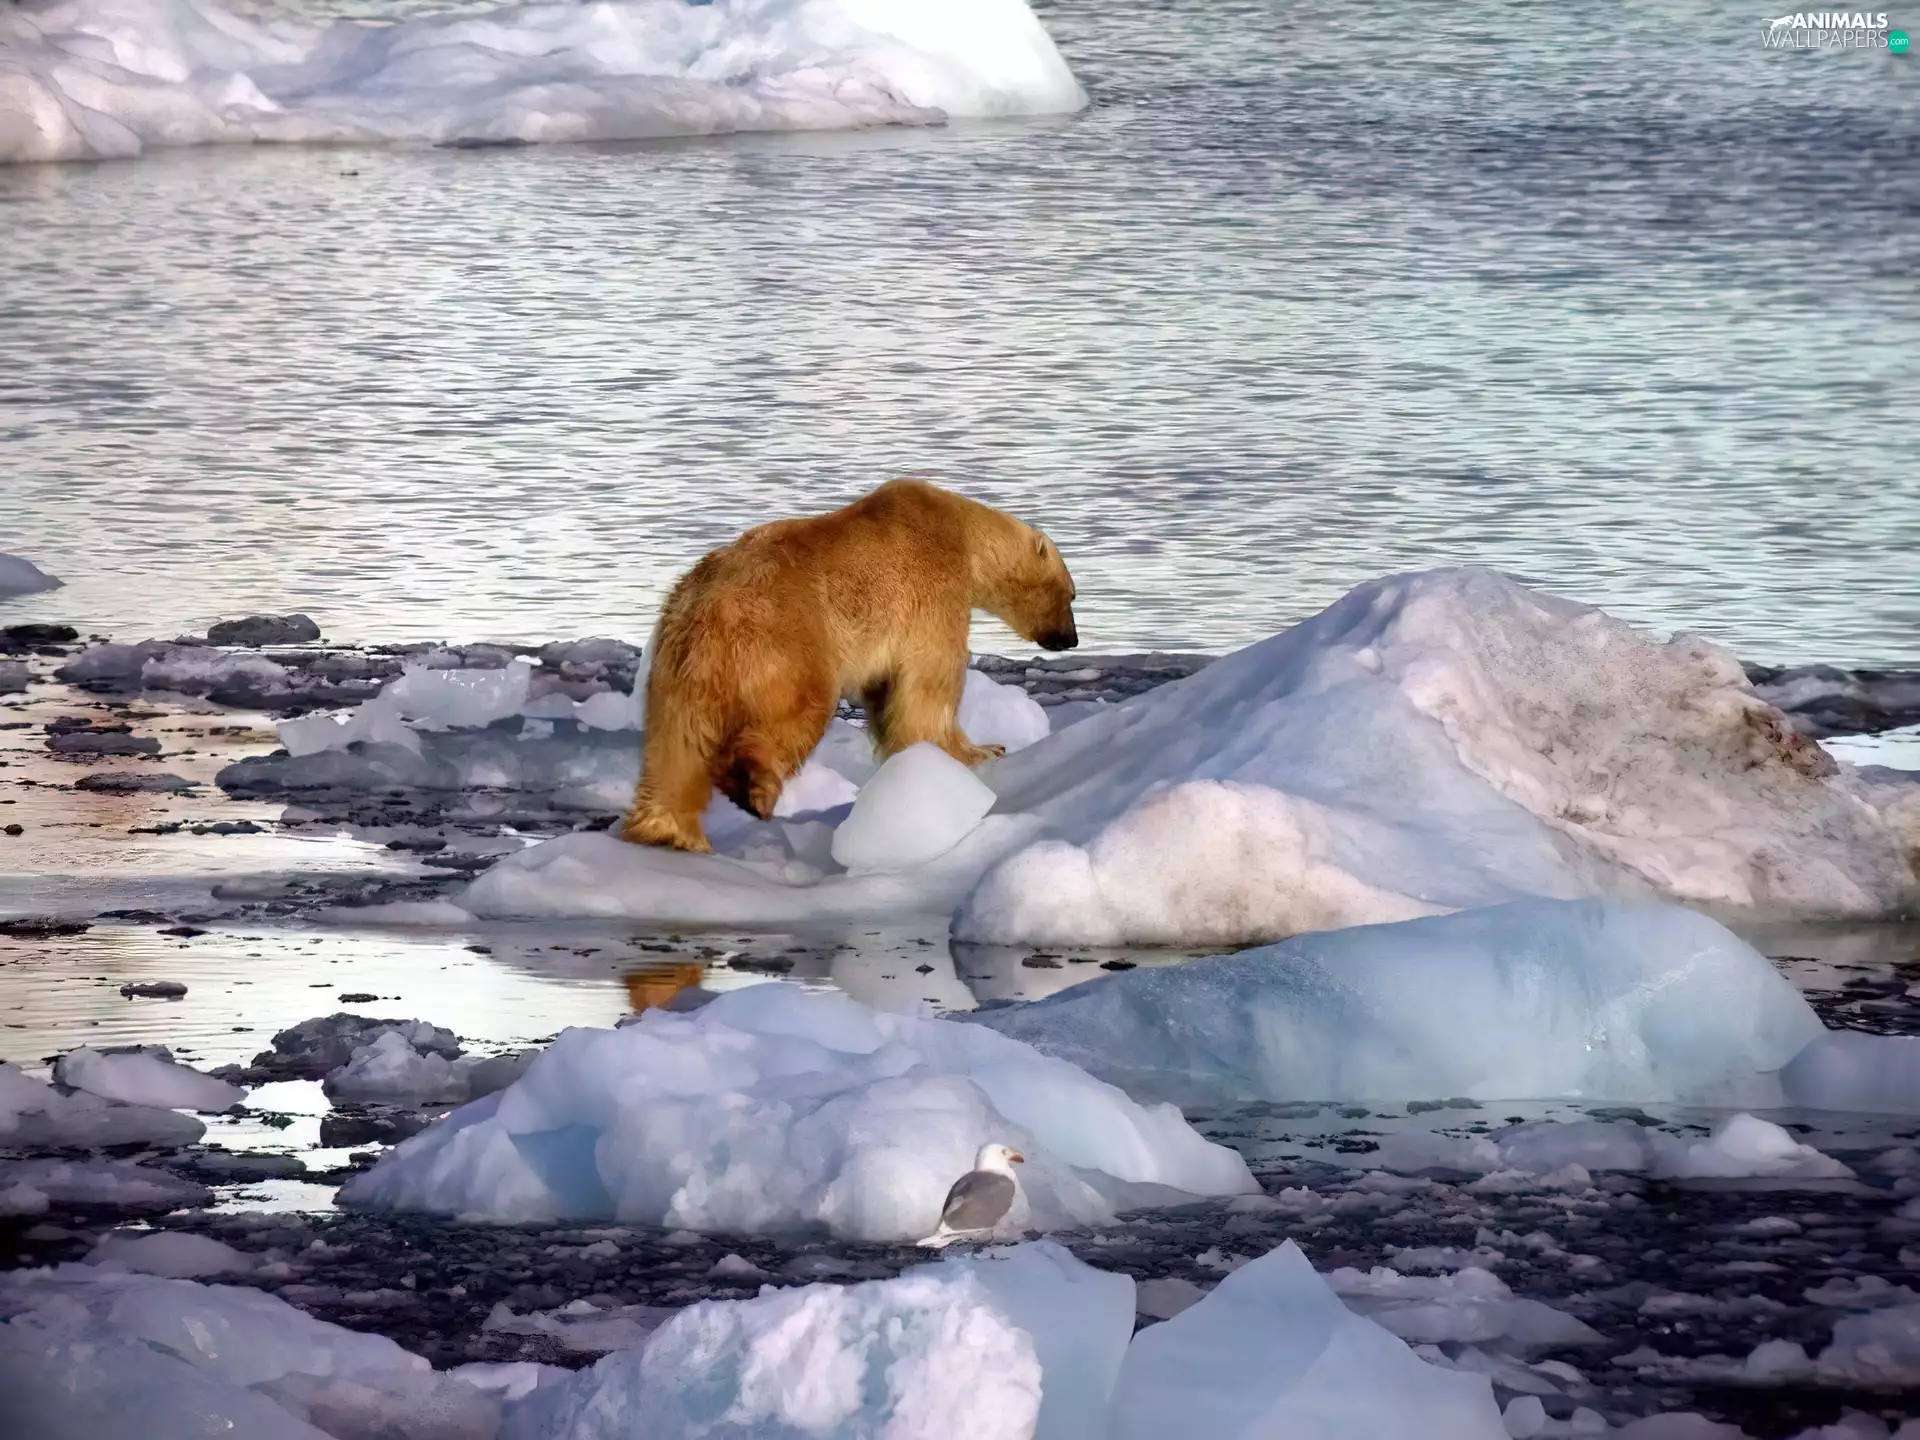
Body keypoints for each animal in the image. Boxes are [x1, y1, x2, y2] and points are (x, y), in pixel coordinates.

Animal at [620, 478, 1079, 853]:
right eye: (1071, 594)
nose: (1071, 639)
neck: (963, 532)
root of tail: (709, 606)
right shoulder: (934, 588)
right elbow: (930, 684)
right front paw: (978, 751)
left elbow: (885, 693)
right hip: (786, 637)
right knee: (798, 709)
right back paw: (748, 784)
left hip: (679, 660)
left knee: (676, 741)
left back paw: (669, 830)